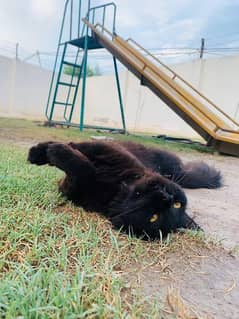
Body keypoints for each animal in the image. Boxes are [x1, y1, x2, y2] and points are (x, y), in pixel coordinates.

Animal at [27, 141, 220, 240]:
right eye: (178, 204)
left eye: (154, 217)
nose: (166, 197)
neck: (117, 186)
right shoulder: (111, 151)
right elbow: (79, 147)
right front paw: (39, 152)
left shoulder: (73, 190)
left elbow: (84, 169)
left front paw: (56, 152)